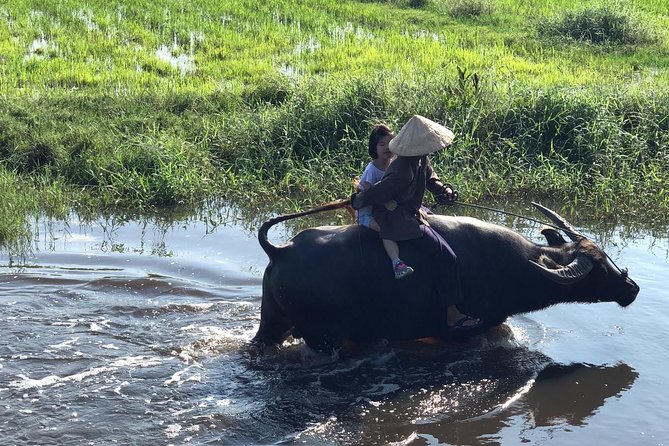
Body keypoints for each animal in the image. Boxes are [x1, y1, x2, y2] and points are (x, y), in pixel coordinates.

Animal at [253, 202, 640, 352]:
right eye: (599, 269)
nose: (632, 288)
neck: (517, 266)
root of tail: (280, 250)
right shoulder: (474, 322)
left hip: (271, 323)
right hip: (324, 339)